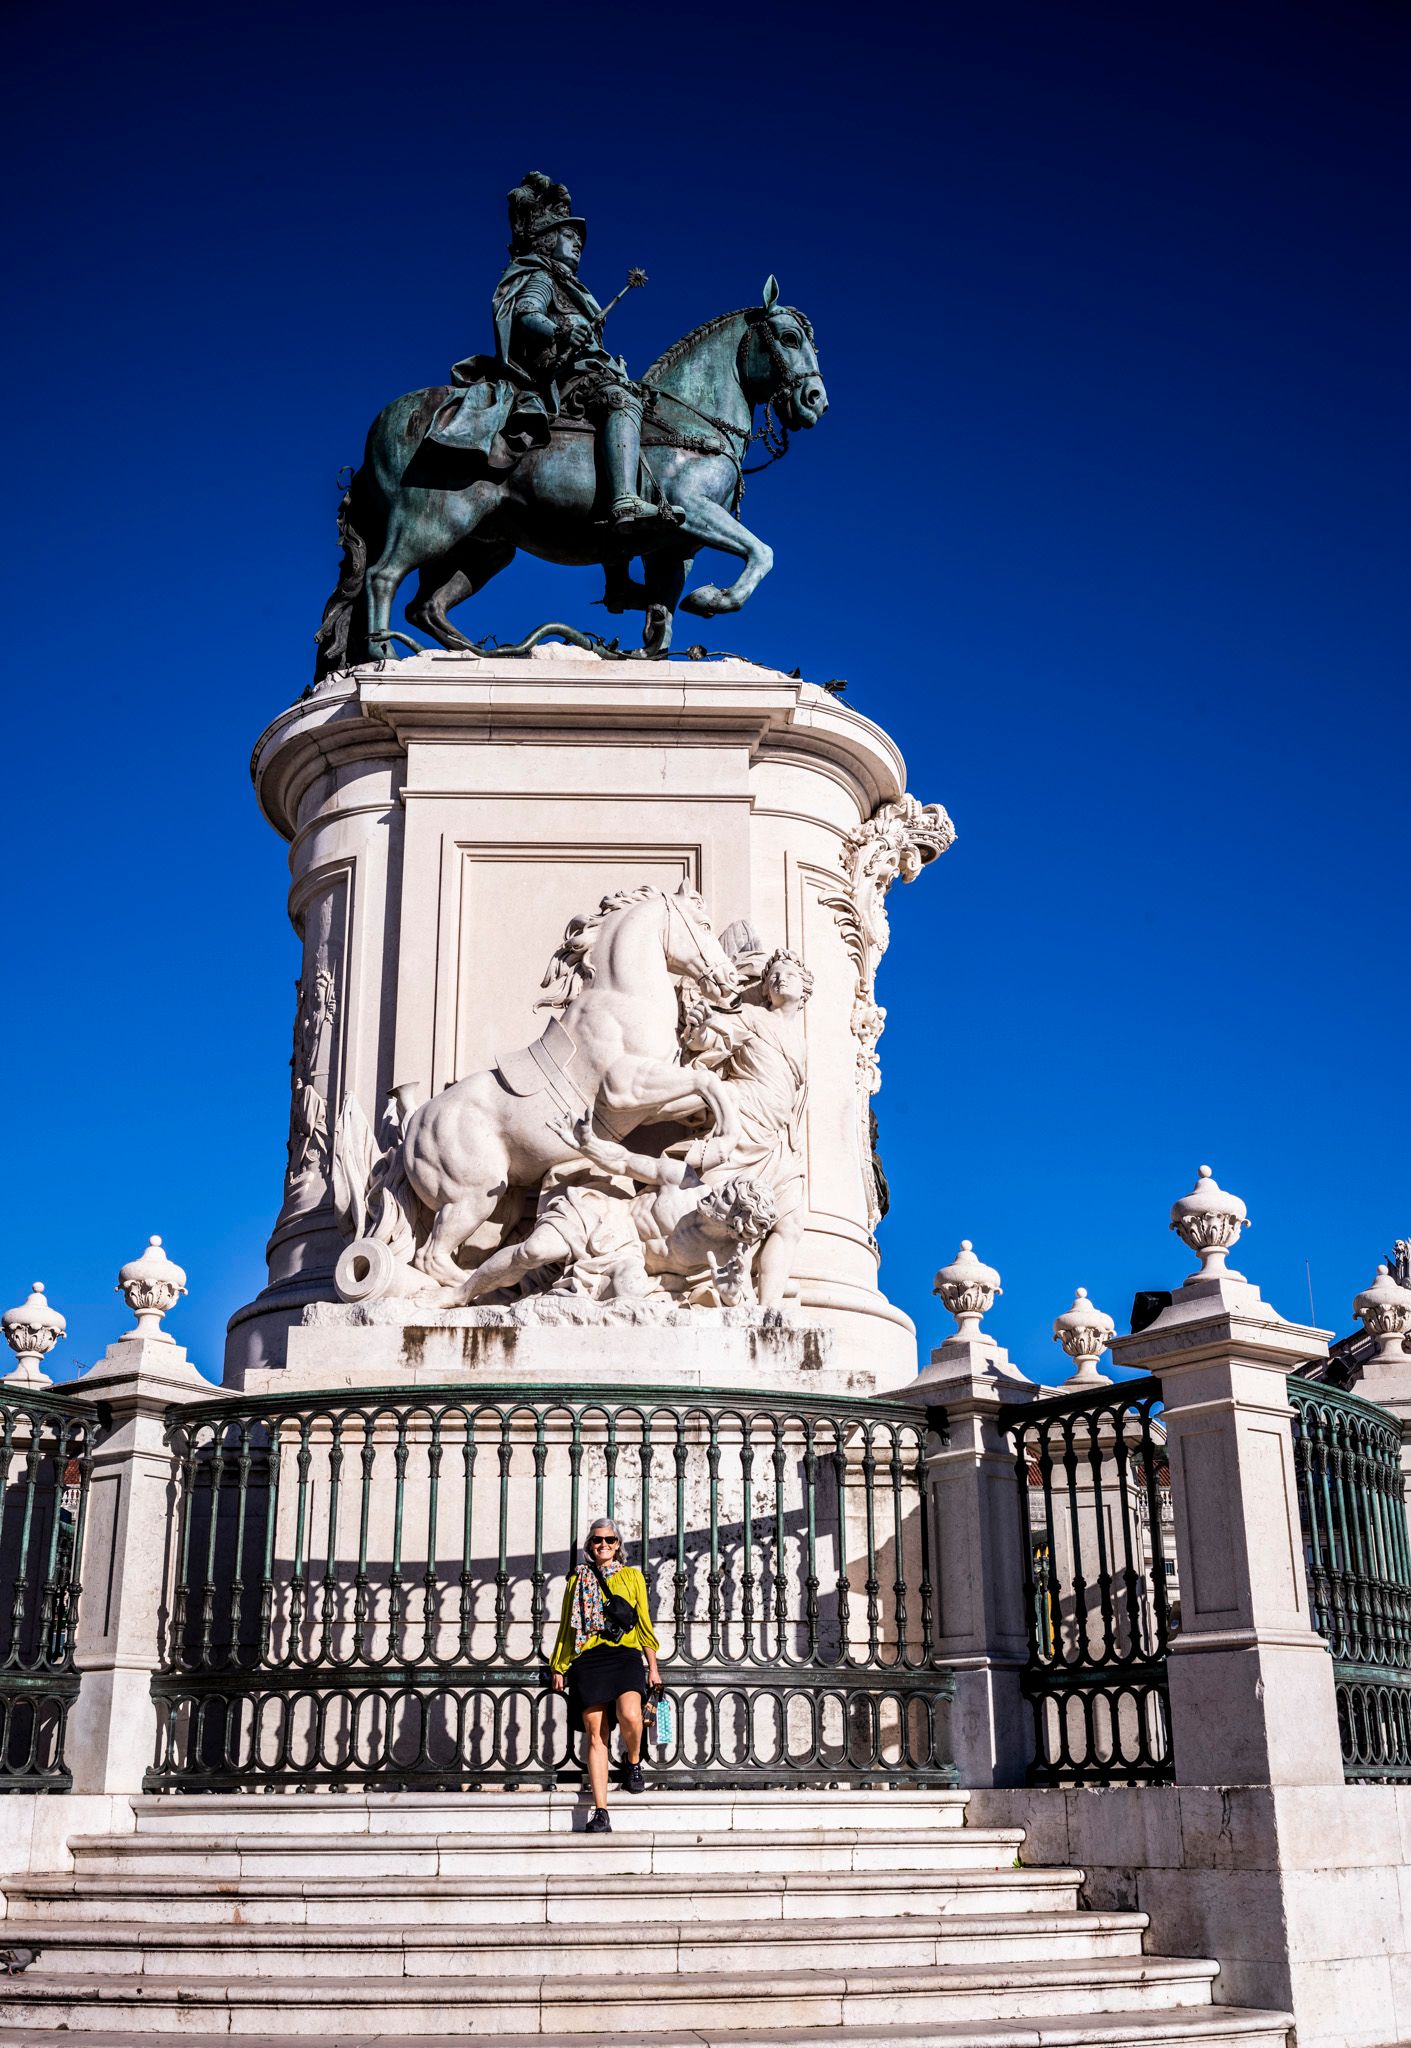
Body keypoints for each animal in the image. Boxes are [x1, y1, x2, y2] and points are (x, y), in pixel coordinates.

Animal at [313, 278, 827, 671]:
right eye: (788, 339)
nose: (816, 400)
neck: (691, 419)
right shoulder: (693, 511)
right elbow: (762, 553)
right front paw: (712, 599)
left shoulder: (672, 546)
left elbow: (661, 614)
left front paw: (650, 644)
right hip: (432, 522)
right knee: (382, 576)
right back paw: (384, 653)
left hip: (484, 548)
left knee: (427, 606)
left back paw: (481, 653)